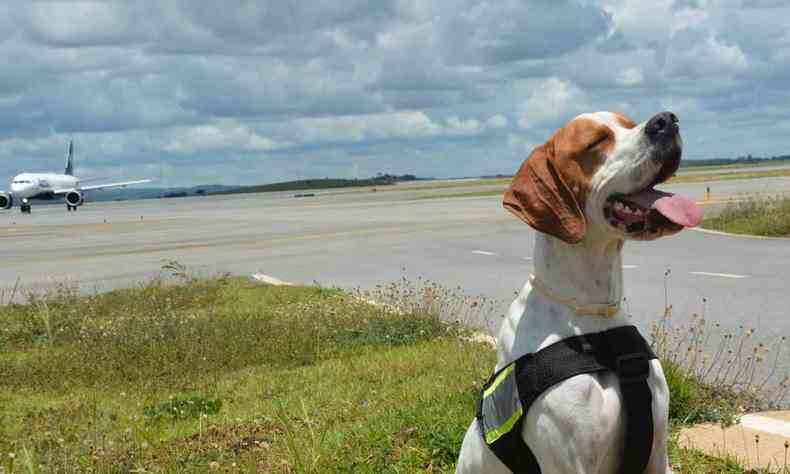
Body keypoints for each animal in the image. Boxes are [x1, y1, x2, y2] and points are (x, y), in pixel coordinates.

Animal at [458, 112, 704, 474]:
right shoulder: (570, 463)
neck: (592, 311)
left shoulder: (657, 451)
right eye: (595, 142)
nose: (666, 120)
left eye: (628, 123)